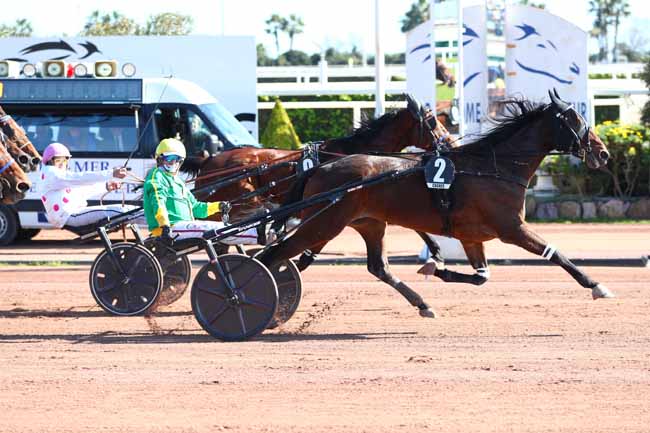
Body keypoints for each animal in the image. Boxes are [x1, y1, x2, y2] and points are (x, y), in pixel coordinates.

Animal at [258, 90, 612, 318]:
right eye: (575, 119)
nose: (604, 152)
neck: (493, 167)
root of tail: (320, 166)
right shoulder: (512, 228)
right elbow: (556, 254)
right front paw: (597, 285)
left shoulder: (472, 237)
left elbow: (482, 276)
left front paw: (437, 267)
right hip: (324, 223)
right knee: (273, 256)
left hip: (368, 223)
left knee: (377, 266)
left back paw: (422, 304)